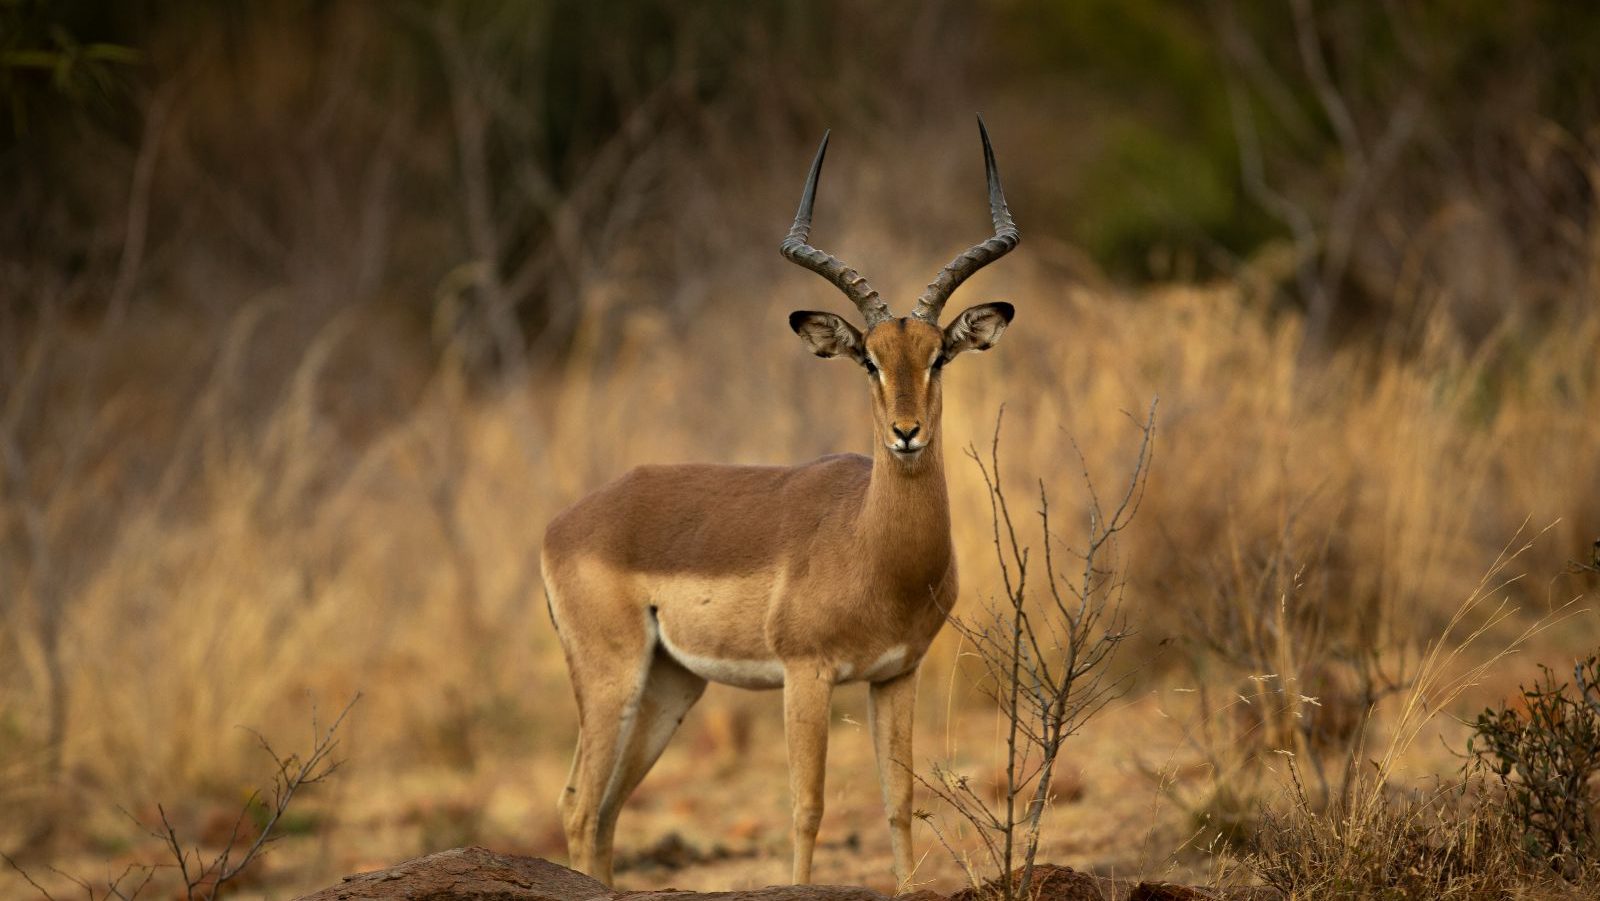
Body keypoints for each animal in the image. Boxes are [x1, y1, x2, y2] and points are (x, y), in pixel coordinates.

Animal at [542, 117, 1019, 888]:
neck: (871, 547)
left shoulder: (897, 674)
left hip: (671, 685)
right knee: (580, 806)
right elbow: (808, 807)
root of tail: (565, 523)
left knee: (606, 811)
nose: (906, 433)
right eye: (869, 359)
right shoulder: (806, 674)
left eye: (938, 355)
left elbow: (899, 802)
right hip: (613, 676)